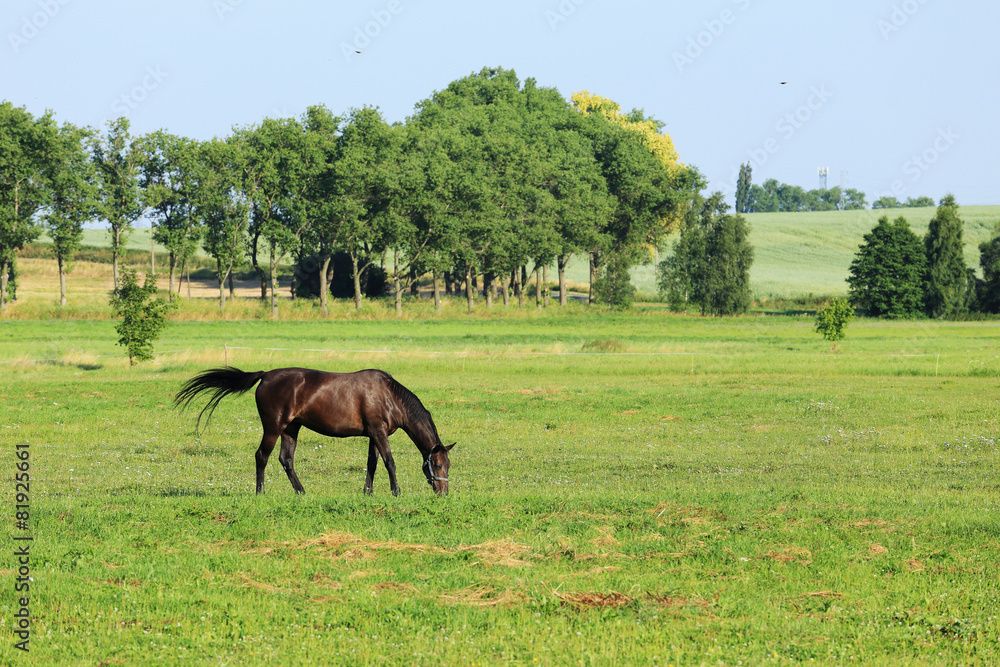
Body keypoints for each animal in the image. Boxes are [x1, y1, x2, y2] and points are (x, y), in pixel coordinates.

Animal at [174, 367, 454, 496]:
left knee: (286, 460)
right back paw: (260, 491)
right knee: (261, 457)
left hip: (291, 429)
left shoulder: (374, 435)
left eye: (448, 466)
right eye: (437, 465)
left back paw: (301, 492)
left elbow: (372, 463)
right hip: (273, 428)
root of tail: (266, 375)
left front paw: (368, 492)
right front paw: (396, 492)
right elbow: (389, 462)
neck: (389, 396)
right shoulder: (378, 433)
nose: (443, 493)